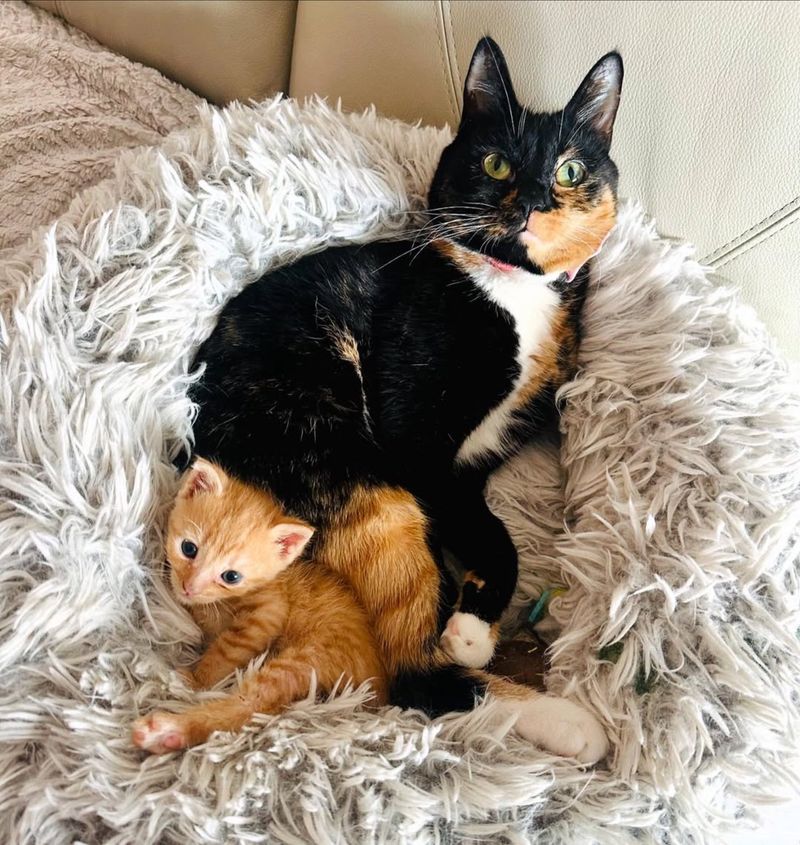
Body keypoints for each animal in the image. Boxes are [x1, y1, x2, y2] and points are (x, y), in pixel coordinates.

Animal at [132, 458, 388, 756]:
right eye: (188, 548)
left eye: (231, 576)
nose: (189, 587)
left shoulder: (268, 612)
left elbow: (226, 650)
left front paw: (197, 679)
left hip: (306, 659)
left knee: (253, 707)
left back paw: (168, 731)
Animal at [184, 41, 620, 764]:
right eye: (496, 162)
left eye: (570, 170)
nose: (531, 202)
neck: (511, 292)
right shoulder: (416, 443)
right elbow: (492, 537)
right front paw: (469, 629)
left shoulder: (470, 465)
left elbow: (494, 533)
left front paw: (472, 617)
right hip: (363, 476)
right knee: (410, 673)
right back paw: (563, 718)